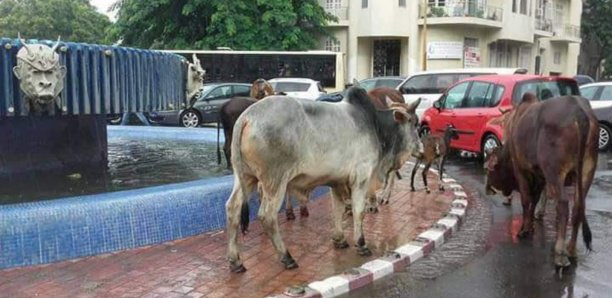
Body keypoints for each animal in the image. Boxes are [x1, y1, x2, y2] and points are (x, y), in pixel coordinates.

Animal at [488, 93, 596, 270]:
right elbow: (535, 198)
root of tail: (579, 113)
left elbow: (527, 200)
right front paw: (531, 225)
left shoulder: (521, 169)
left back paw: (560, 254)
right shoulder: (539, 174)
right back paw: (571, 249)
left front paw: (524, 229)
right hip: (588, 168)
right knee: (579, 206)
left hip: (555, 170)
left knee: (563, 204)